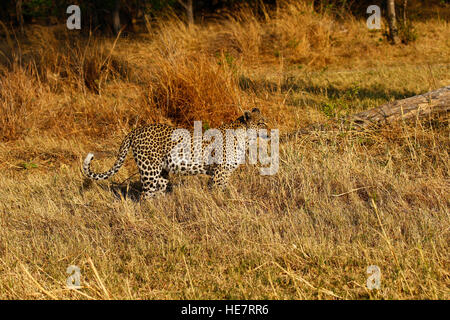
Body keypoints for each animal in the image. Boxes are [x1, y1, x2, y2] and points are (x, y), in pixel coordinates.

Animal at [81, 108, 268, 198]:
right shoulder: (219, 173)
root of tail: (135, 130)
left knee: (156, 194)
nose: (269, 130)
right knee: (145, 196)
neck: (245, 138)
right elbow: (218, 192)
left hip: (161, 174)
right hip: (149, 170)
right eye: (261, 123)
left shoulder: (226, 173)